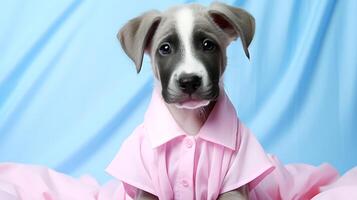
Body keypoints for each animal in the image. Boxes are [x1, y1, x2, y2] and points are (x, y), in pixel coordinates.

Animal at [114, 1, 258, 200]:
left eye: (208, 45)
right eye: (165, 48)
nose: (189, 81)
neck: (189, 121)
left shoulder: (236, 183)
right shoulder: (145, 188)